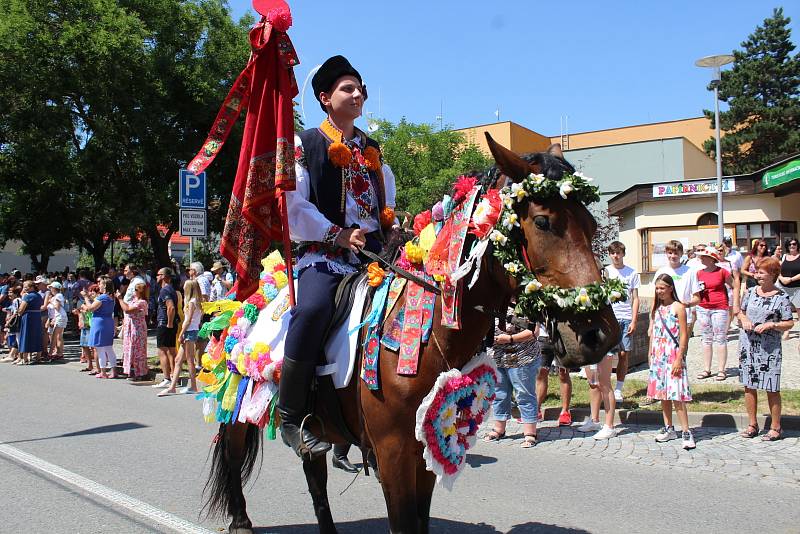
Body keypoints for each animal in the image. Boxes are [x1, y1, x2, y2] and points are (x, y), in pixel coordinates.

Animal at [205, 135, 620, 534]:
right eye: (543, 222)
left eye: (591, 224)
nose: (600, 334)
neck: (429, 338)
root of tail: (243, 294)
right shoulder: (393, 454)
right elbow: (404, 522)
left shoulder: (425, 443)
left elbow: (419, 519)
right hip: (237, 406)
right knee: (234, 456)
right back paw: (240, 522)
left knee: (315, 475)